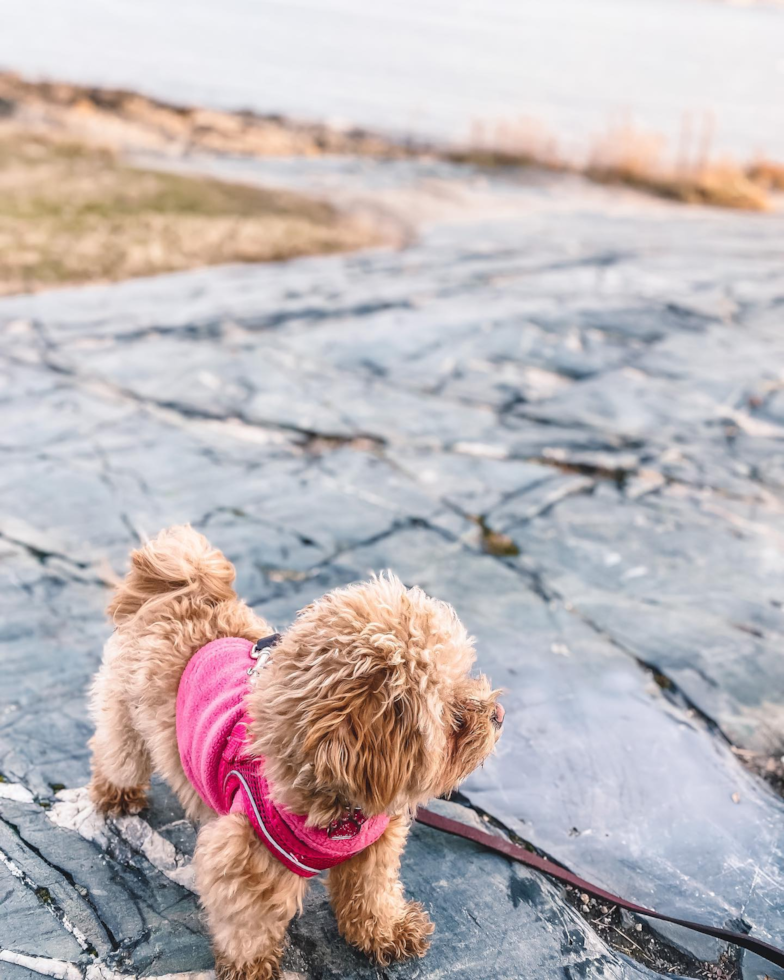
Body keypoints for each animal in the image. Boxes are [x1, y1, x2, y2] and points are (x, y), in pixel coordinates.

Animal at [86, 524, 502, 976]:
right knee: (117, 755)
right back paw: (118, 794)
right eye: (455, 718)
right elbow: (248, 923)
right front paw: (250, 967)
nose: (498, 714)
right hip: (124, 716)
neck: (340, 803)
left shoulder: (374, 848)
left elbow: (374, 893)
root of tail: (185, 589)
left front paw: (386, 933)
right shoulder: (244, 857)